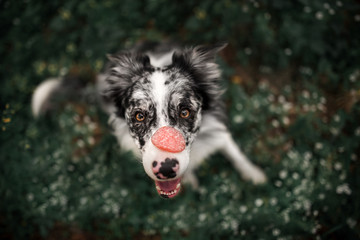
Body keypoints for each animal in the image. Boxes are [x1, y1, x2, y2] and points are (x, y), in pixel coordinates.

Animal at [32, 41, 266, 199]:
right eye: (139, 115)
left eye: (185, 112)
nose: (166, 169)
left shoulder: (219, 130)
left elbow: (235, 153)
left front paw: (254, 174)